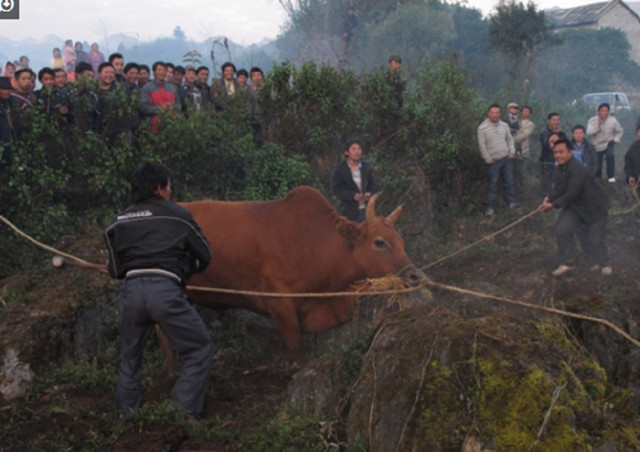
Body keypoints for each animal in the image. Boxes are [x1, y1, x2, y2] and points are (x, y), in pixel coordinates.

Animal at [181, 185, 420, 364]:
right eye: (380, 242)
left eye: (401, 241)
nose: (414, 276)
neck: (311, 244)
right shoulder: (280, 304)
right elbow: (296, 353)